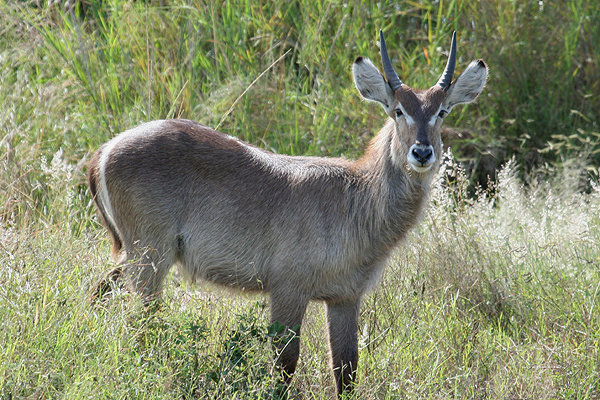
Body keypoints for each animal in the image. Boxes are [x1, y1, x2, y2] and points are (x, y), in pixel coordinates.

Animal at [86, 31, 486, 396]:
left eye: (441, 112)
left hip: (133, 254)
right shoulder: (288, 290)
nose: (422, 152)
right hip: (151, 256)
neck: (355, 197)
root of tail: (104, 150)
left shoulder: (345, 298)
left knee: (99, 292)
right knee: (143, 323)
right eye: (398, 110)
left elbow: (346, 371)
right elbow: (285, 366)